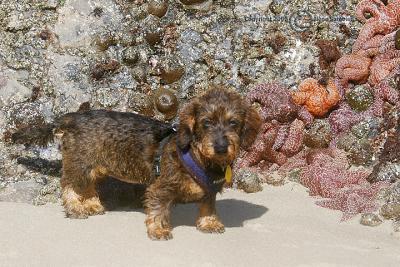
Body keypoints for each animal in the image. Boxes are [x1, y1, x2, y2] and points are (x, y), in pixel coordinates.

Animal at [11, 86, 262, 241]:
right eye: (206, 123)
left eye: (233, 122)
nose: (221, 147)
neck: (200, 157)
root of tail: (73, 117)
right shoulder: (160, 188)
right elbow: (159, 210)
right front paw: (158, 230)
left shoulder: (210, 191)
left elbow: (208, 206)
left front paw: (209, 223)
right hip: (80, 164)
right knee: (69, 186)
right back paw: (75, 208)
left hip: (94, 166)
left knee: (88, 186)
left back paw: (92, 204)